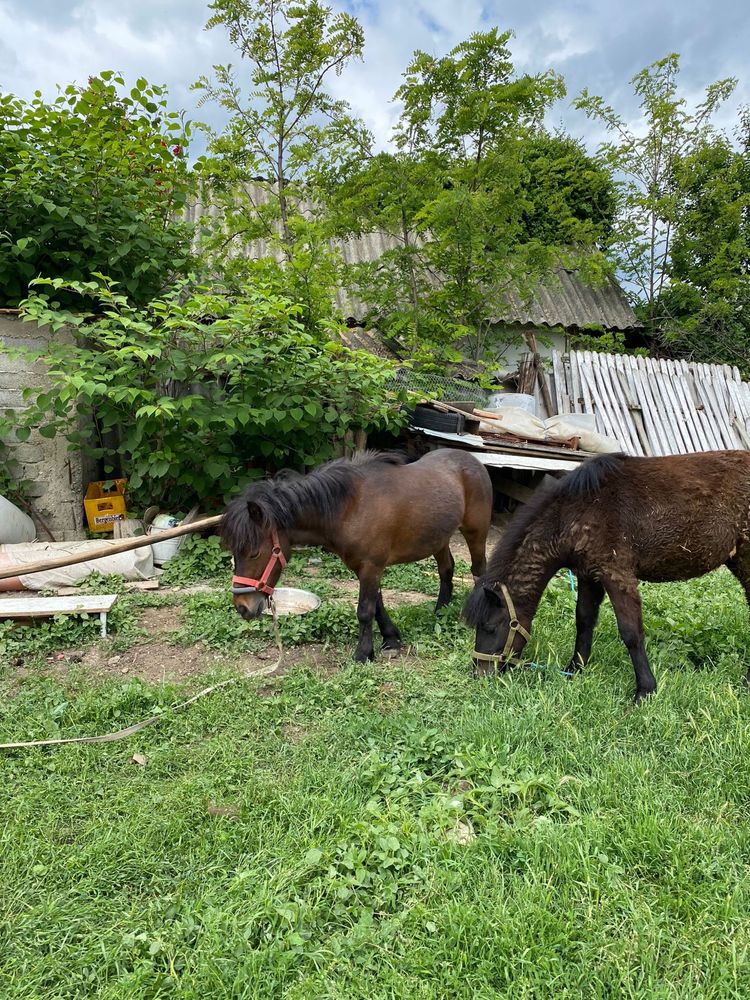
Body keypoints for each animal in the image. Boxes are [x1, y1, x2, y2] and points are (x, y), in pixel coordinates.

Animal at [222, 450, 494, 660]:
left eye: (254, 553)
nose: (242, 607)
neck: (350, 507)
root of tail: (473, 460)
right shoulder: (365, 567)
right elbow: (377, 605)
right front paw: (391, 639)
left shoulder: (371, 566)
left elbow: (365, 610)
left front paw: (363, 653)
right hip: (439, 538)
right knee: (446, 569)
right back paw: (440, 611)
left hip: (476, 533)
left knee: (479, 571)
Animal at [464, 452, 750, 704]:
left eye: (490, 627)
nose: (480, 674)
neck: (576, 512)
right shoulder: (588, 576)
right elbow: (584, 621)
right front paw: (575, 669)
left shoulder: (616, 575)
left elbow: (631, 633)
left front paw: (645, 690)